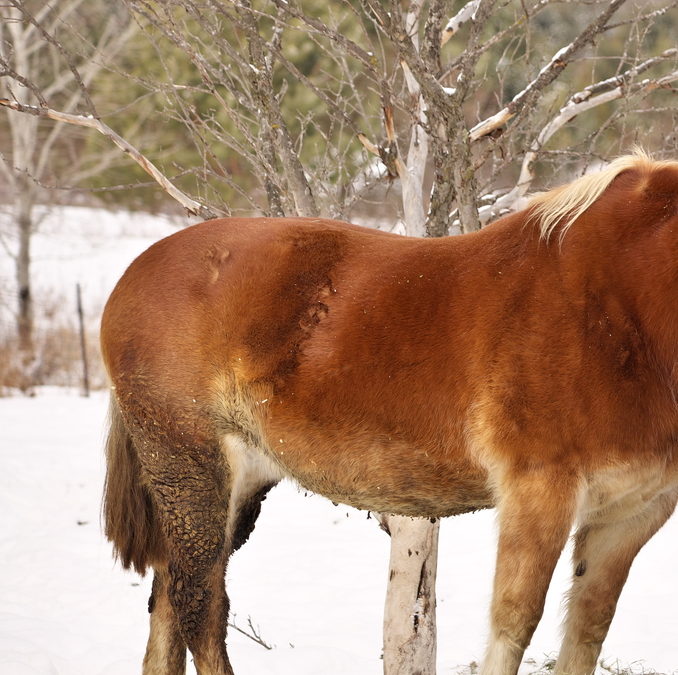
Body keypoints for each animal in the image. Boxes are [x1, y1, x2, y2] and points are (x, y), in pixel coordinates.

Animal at [101, 153, 678, 675]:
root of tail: (135, 272)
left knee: (170, 600)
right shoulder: (539, 494)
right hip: (190, 469)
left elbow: (588, 629)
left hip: (234, 485)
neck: (620, 309)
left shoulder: (633, 513)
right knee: (198, 605)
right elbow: (515, 624)